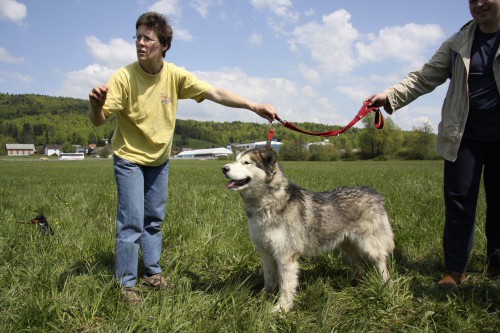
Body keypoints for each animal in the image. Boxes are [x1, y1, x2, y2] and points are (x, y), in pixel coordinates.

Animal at [223, 148, 394, 312]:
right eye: (235, 160)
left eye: (246, 162)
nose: (224, 168)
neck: (266, 204)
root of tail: (372, 191)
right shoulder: (266, 253)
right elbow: (269, 279)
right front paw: (264, 297)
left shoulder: (286, 256)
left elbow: (285, 285)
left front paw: (282, 308)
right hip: (348, 245)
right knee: (359, 264)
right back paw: (357, 283)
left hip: (369, 244)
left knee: (380, 262)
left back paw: (385, 285)